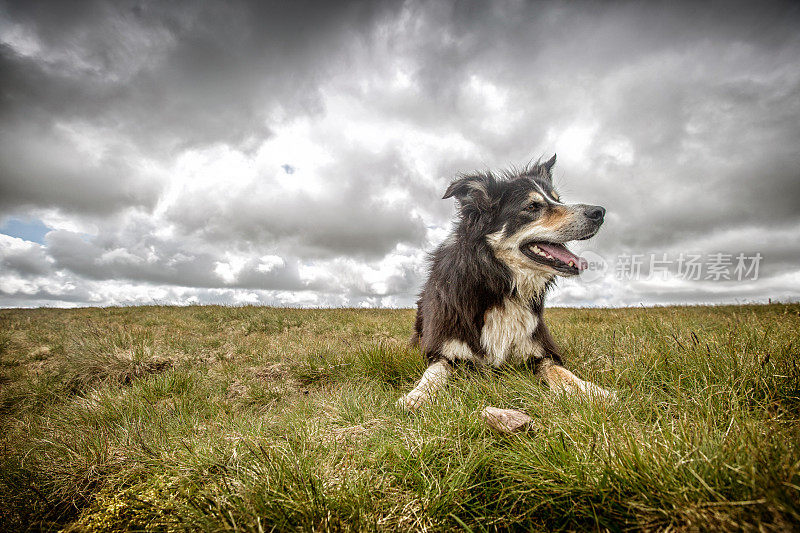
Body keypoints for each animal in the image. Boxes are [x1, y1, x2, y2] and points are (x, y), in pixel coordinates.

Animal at [398, 156, 612, 410]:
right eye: (532, 207)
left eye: (558, 200)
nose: (599, 212)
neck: (498, 285)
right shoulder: (442, 350)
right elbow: (434, 373)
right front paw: (416, 396)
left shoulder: (541, 350)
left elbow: (559, 370)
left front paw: (590, 390)